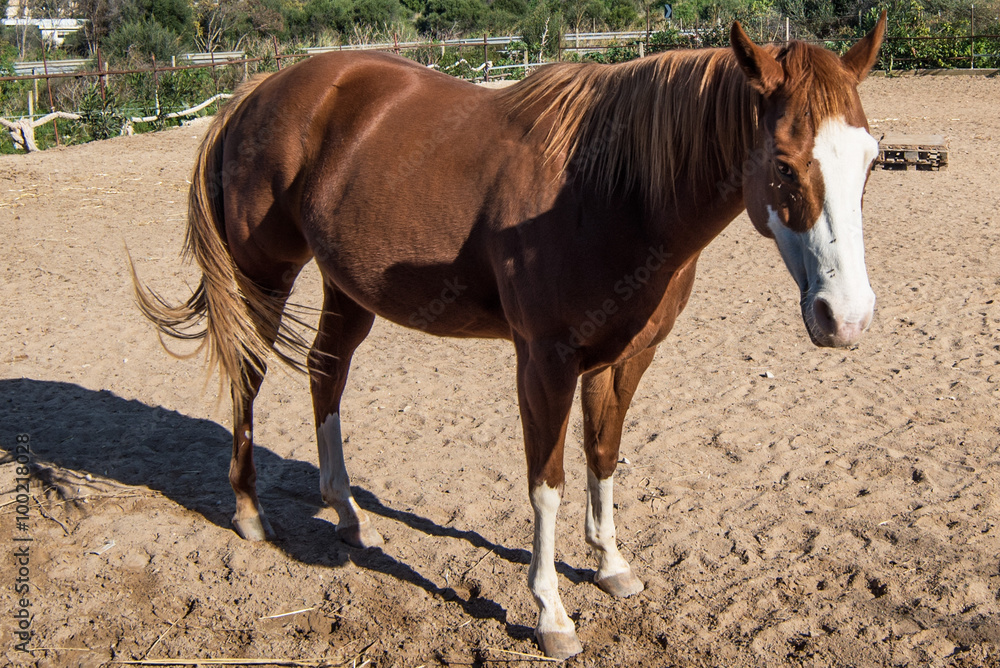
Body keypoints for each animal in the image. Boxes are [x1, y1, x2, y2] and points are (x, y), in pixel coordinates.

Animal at [131, 15, 887, 659]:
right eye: (783, 163)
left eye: (872, 160)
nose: (845, 318)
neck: (613, 191)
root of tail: (260, 89)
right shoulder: (544, 363)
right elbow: (546, 483)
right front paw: (551, 613)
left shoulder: (624, 359)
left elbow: (603, 458)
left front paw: (612, 564)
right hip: (264, 274)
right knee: (249, 374)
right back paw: (250, 512)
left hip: (348, 287)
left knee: (326, 372)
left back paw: (347, 513)